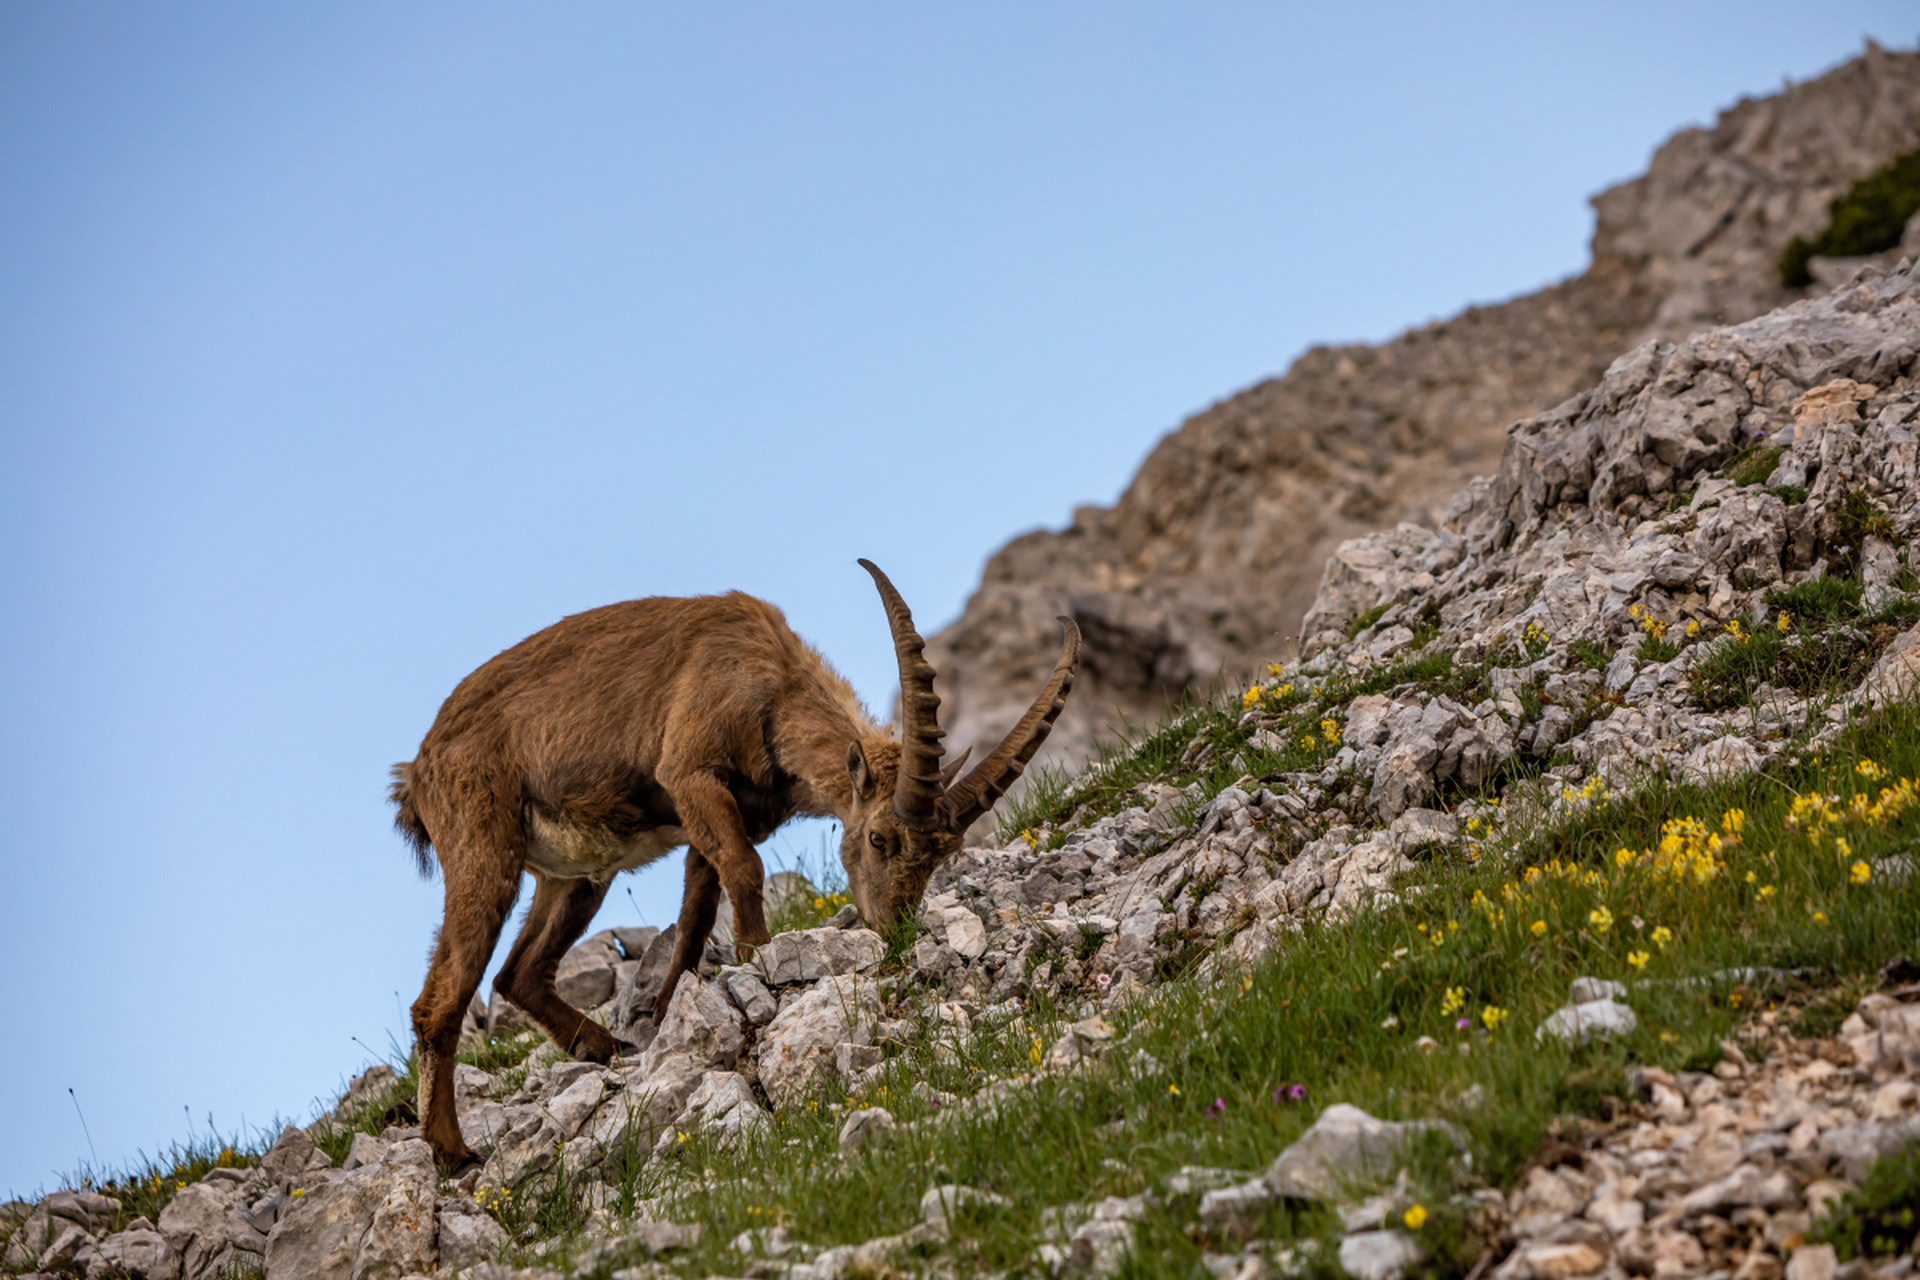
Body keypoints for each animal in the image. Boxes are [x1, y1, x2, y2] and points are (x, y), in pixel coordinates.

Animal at [389, 556, 1082, 1159]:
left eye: (943, 854)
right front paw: (759, 964)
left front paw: (672, 1010)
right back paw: (452, 1153)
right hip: (484, 850)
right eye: (880, 839)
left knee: (519, 975)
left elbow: (699, 911)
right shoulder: (691, 773)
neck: (768, 681)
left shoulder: (716, 818)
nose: (897, 928)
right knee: (439, 1002)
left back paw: (601, 1046)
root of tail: (418, 771)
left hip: (578, 878)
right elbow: (744, 870)